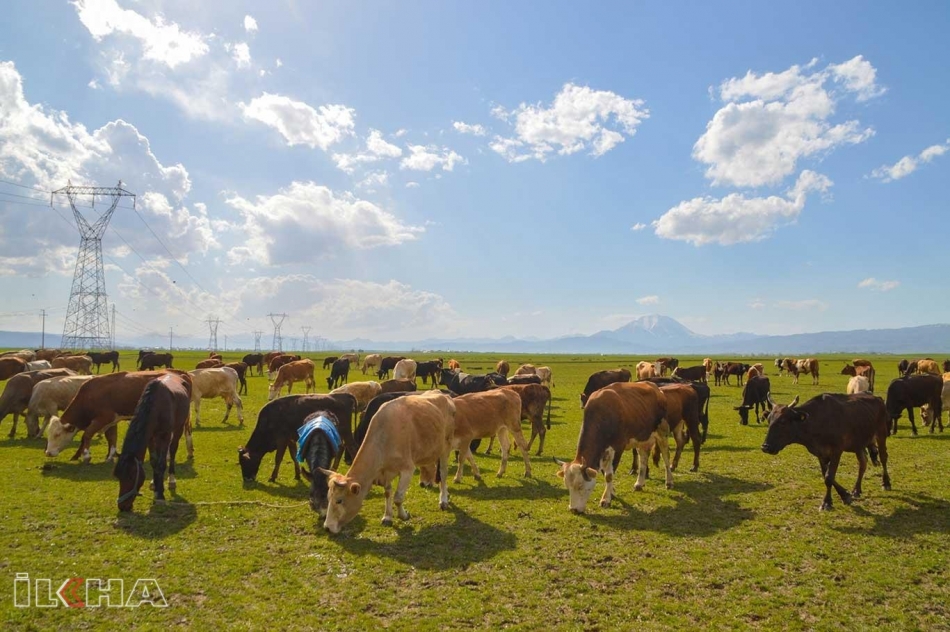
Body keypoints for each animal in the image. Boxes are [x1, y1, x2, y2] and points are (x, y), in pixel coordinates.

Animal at [113, 372, 192, 512]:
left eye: (131, 476)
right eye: (118, 476)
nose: (123, 506)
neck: (156, 405)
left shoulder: (165, 436)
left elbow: (161, 463)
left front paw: (160, 495)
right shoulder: (150, 437)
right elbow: (154, 462)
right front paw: (156, 487)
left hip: (178, 428)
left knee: (172, 451)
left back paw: (171, 480)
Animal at [322, 390, 460, 532]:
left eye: (339, 500)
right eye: (328, 497)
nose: (327, 527)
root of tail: (443, 394)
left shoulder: (407, 469)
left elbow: (398, 498)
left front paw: (404, 515)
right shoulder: (385, 472)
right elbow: (388, 493)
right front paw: (387, 517)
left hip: (446, 446)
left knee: (443, 473)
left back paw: (443, 499)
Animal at [556, 380, 672, 512]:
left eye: (580, 486)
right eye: (567, 486)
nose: (573, 509)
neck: (603, 415)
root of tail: (656, 388)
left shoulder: (617, 449)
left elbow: (609, 476)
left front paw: (606, 499)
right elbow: (604, 473)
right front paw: (612, 491)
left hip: (662, 432)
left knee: (666, 456)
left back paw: (669, 481)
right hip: (642, 438)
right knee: (643, 459)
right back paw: (639, 483)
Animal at [760, 392, 892, 512]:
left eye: (783, 421)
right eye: (769, 420)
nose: (765, 447)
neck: (817, 422)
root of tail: (877, 397)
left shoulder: (836, 451)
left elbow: (829, 477)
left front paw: (827, 502)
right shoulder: (819, 453)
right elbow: (826, 475)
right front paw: (845, 495)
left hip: (881, 433)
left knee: (883, 457)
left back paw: (886, 483)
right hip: (858, 443)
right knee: (863, 463)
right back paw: (856, 490)